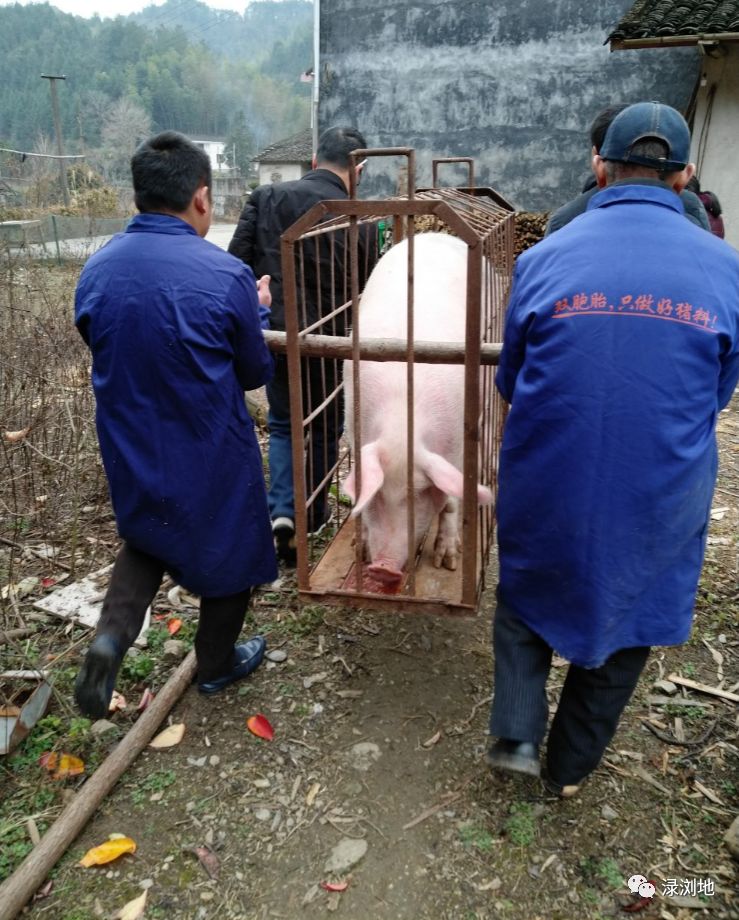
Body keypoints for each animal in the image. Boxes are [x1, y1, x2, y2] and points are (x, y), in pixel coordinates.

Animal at [344, 232, 494, 588]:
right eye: (378, 494)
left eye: (421, 492)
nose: (382, 568)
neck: (403, 420)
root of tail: (436, 235)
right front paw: (361, 549)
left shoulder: (457, 446)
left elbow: (451, 502)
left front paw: (447, 562)